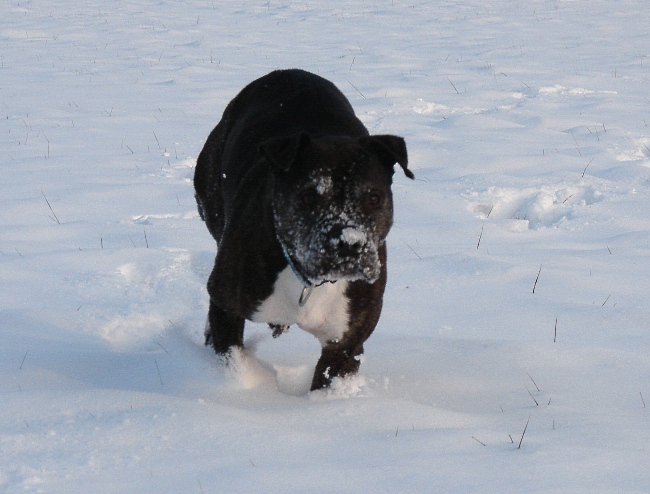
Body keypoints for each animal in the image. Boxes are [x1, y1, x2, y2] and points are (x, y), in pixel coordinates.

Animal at [192, 68, 410, 390]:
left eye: (374, 198)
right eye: (309, 197)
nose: (349, 243)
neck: (308, 282)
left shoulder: (344, 345)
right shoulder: (227, 303)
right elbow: (232, 354)